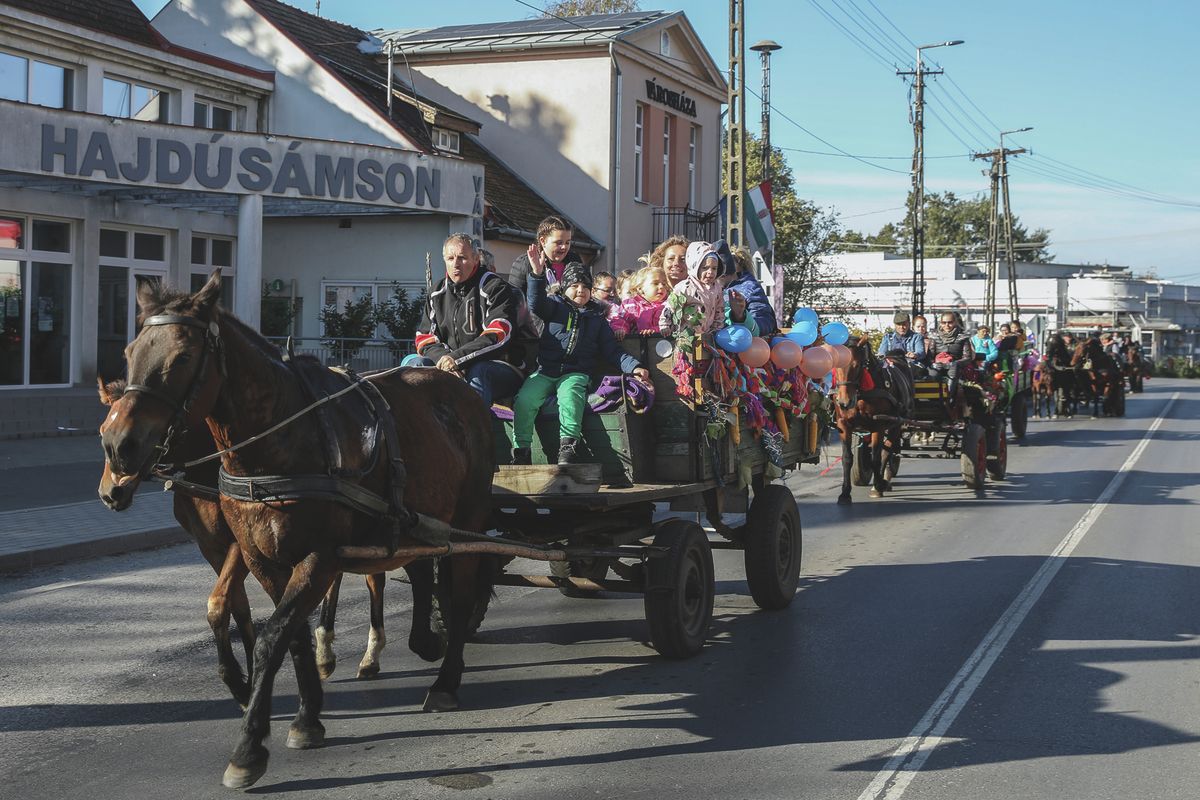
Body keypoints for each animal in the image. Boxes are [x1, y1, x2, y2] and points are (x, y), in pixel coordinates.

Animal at [98, 271, 496, 786]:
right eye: (130, 352)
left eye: (182, 356)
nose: (118, 448)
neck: (275, 444)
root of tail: (459, 387)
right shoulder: (259, 556)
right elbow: (288, 632)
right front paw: (306, 716)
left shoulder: (317, 556)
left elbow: (272, 637)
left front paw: (249, 746)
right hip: (411, 521)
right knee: (419, 572)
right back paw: (422, 642)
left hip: (467, 518)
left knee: (461, 592)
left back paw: (445, 679)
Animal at [835, 338, 907, 506]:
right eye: (835, 364)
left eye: (856, 365)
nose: (844, 403)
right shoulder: (844, 424)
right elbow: (847, 458)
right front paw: (845, 493)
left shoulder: (878, 426)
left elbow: (876, 458)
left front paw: (878, 485)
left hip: (896, 424)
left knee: (886, 451)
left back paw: (881, 482)